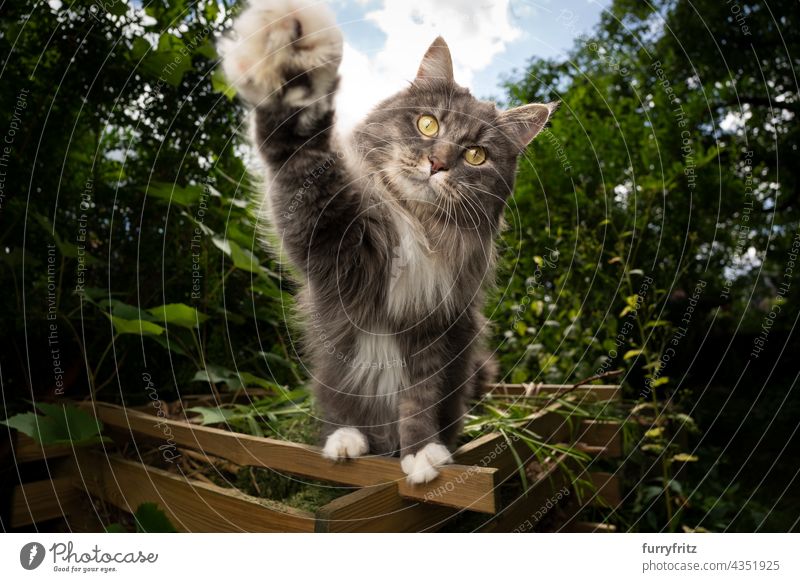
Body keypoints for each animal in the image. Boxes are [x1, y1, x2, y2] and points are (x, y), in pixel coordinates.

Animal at [219, 0, 556, 484]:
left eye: (476, 155)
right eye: (427, 124)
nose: (437, 163)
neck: (417, 224)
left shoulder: (436, 330)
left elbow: (420, 400)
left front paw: (421, 455)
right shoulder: (328, 236)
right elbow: (299, 146)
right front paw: (298, 55)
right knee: (339, 408)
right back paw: (346, 441)